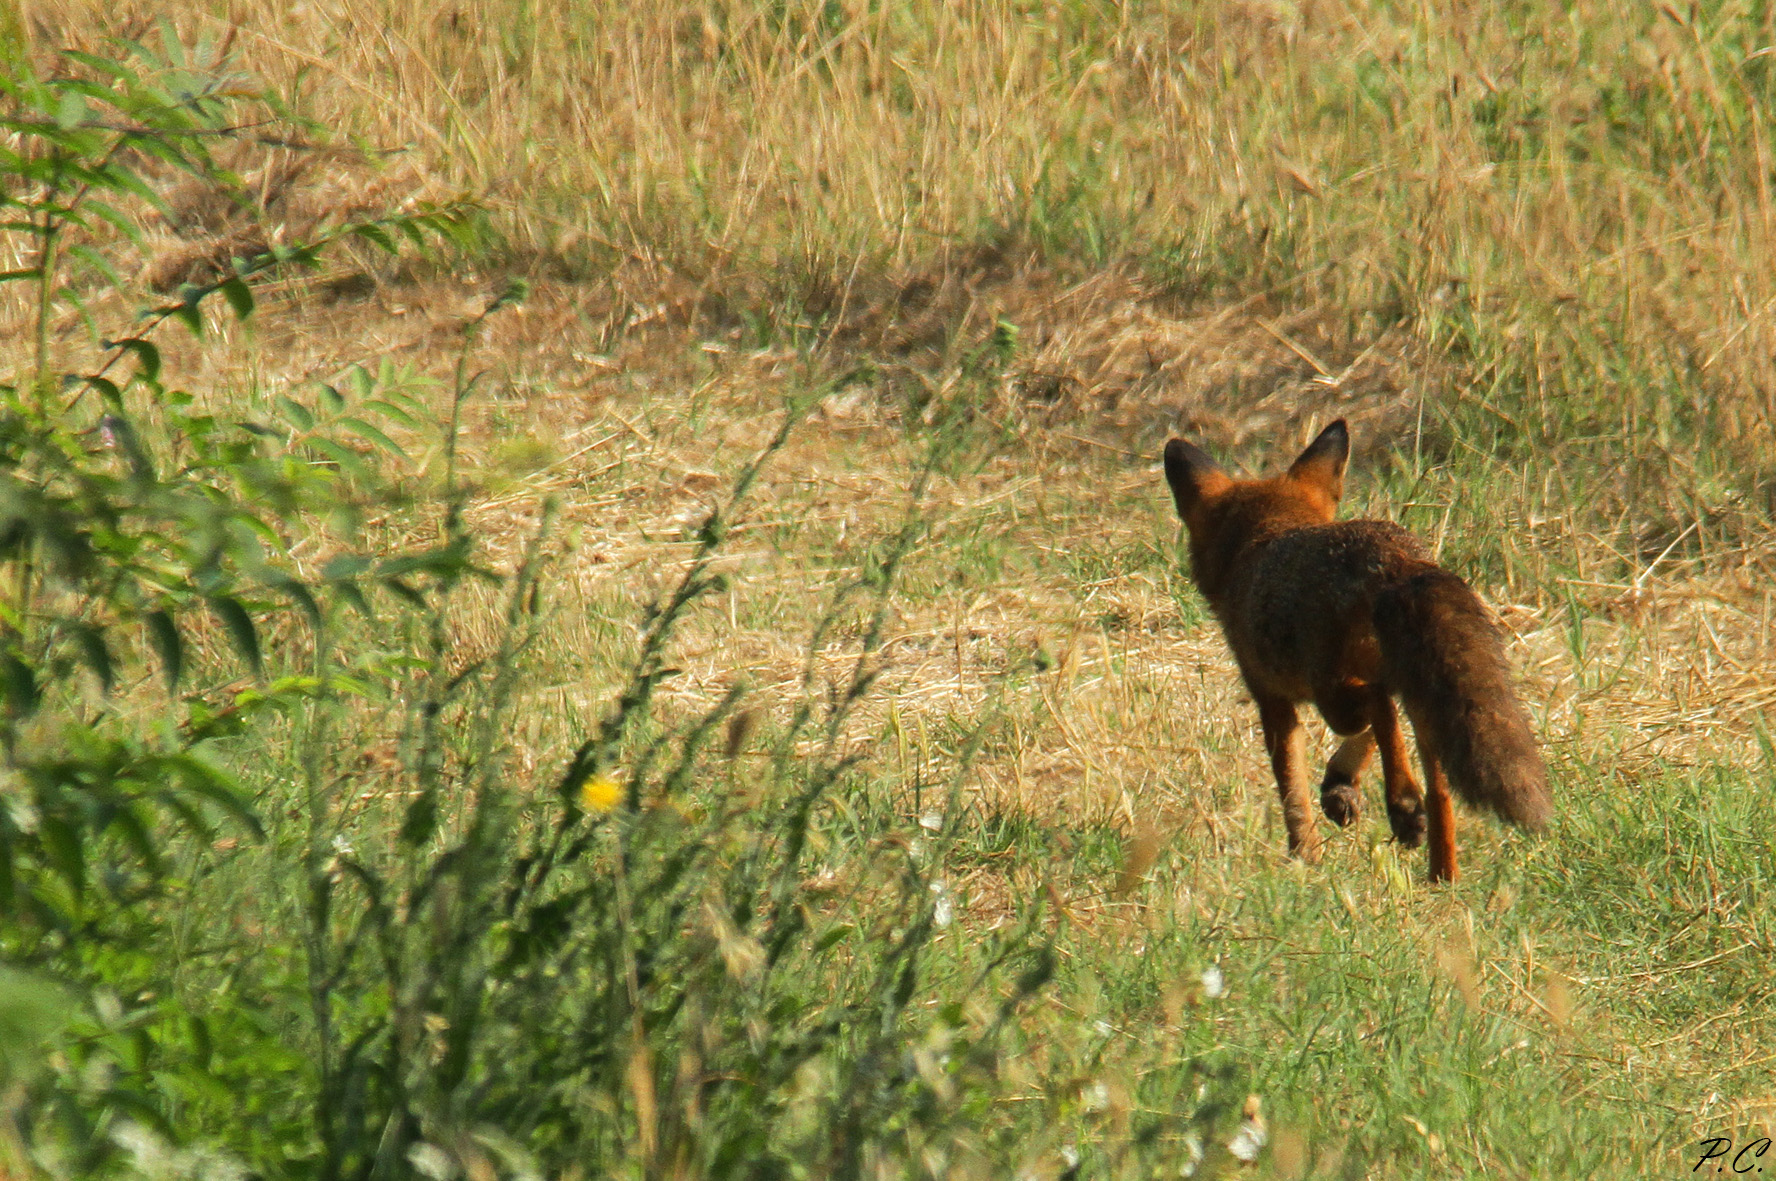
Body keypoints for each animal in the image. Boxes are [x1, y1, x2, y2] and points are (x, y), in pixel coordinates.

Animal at [1162, 419, 1549, 883]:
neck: (1264, 538)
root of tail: (1396, 557)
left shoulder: (1271, 697)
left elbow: (1291, 786)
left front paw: (1305, 855)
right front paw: (1340, 787)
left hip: (1335, 695)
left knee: (1381, 709)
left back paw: (1402, 804)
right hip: (1421, 692)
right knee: (1437, 785)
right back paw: (1442, 874)